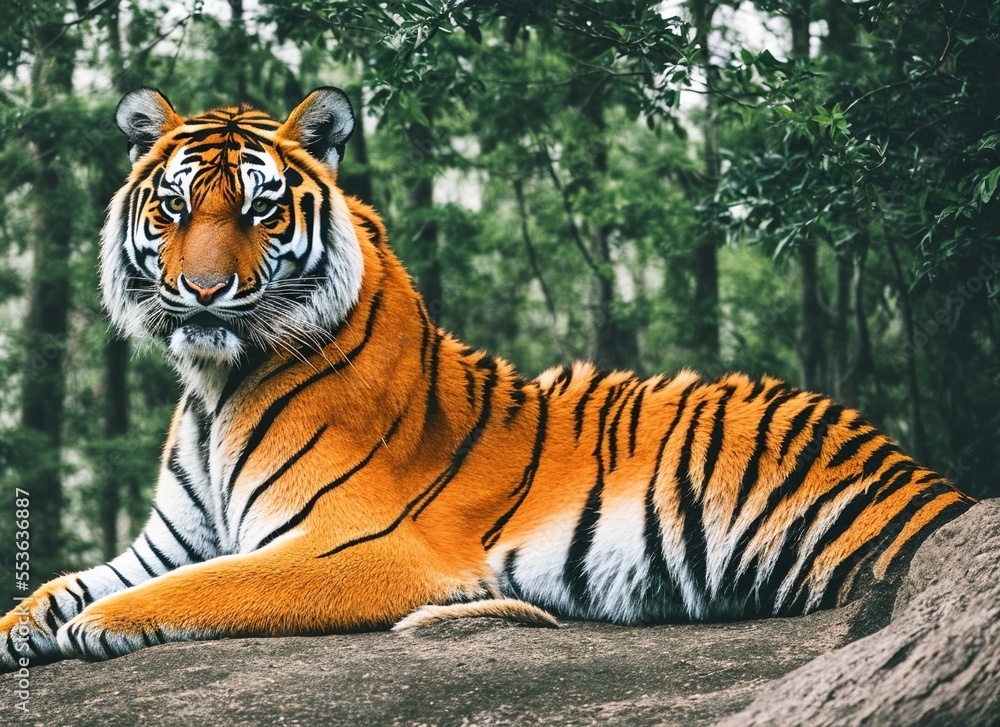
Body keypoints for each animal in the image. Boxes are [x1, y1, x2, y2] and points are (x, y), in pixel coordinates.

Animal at [0, 87, 975, 670]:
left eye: (260, 210)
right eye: (172, 208)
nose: (201, 290)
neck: (211, 383)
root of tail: (920, 476)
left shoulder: (358, 543)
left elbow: (204, 586)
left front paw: (97, 624)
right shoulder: (167, 538)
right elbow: (51, 588)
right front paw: (33, 625)